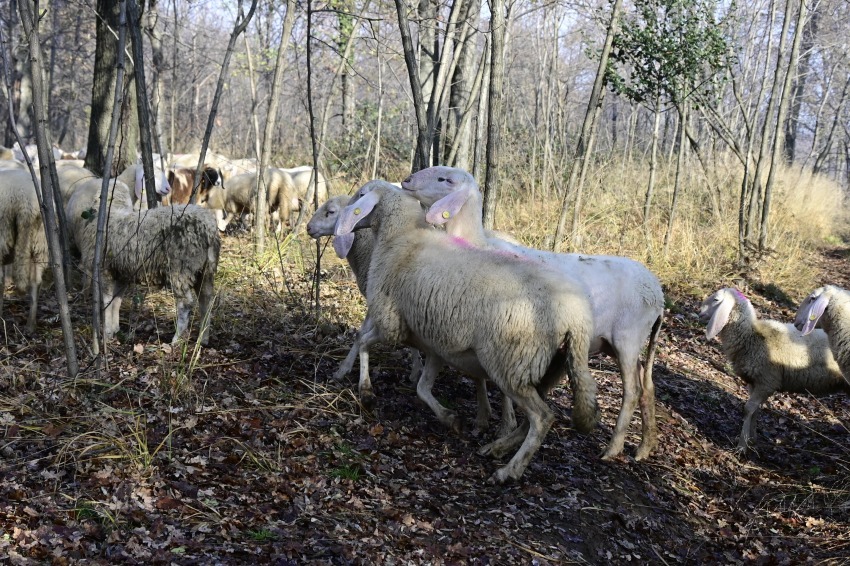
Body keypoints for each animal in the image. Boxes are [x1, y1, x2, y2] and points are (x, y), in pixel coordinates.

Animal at [65, 175, 220, 344]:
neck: (112, 212)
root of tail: (209, 228)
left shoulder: (104, 269)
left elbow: (106, 301)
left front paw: (106, 332)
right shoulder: (122, 273)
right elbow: (116, 301)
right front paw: (115, 329)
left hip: (181, 268)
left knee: (185, 304)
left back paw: (176, 340)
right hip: (205, 269)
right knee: (206, 301)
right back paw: (203, 338)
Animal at [332, 184, 596, 486]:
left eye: (360, 195)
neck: (401, 236)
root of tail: (576, 318)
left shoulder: (392, 323)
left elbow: (364, 341)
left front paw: (365, 390)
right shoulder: (434, 343)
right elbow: (422, 387)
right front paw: (450, 418)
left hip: (511, 363)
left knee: (542, 418)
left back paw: (509, 470)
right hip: (547, 369)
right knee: (534, 417)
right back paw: (497, 447)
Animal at [400, 168, 664, 462]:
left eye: (445, 180)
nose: (406, 181)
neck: (476, 242)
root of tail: (657, 290)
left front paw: (503, 425)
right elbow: (478, 376)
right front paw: (483, 420)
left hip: (627, 339)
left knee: (632, 392)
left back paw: (612, 448)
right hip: (618, 345)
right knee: (647, 386)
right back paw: (644, 447)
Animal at [700, 290, 844, 454]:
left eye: (716, 299)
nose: (700, 312)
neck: (751, 335)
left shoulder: (767, 382)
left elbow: (748, 409)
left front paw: (741, 446)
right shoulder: (754, 382)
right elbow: (755, 410)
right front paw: (752, 439)